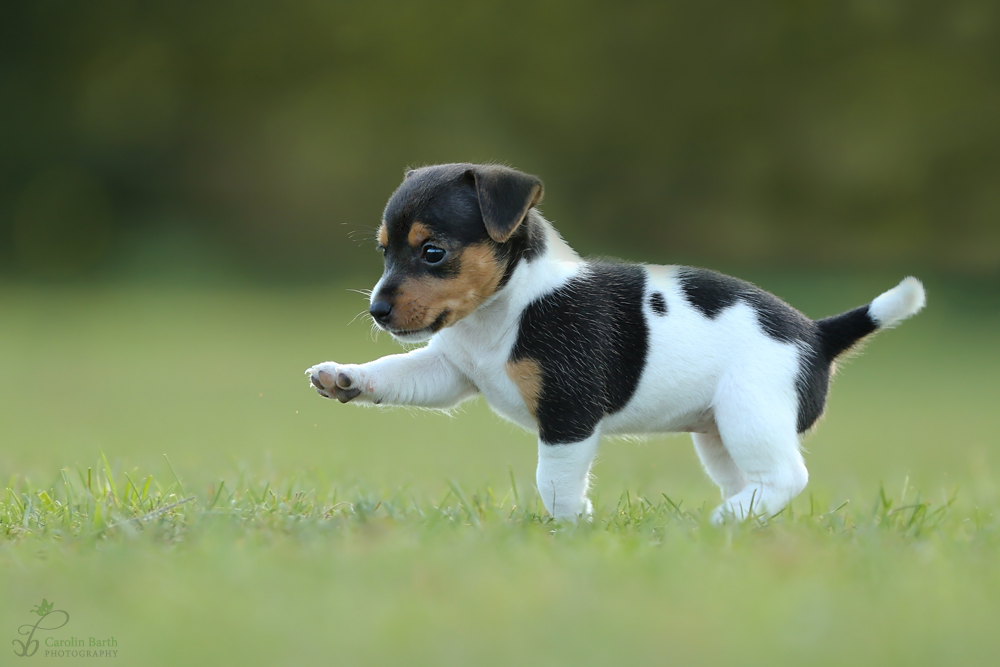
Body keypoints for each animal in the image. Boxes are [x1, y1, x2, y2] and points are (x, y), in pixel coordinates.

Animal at [306, 164, 928, 524]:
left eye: (432, 251)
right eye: (384, 250)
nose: (376, 311)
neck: (512, 303)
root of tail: (817, 334)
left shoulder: (568, 415)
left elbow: (553, 480)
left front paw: (571, 524)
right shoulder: (450, 372)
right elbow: (395, 372)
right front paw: (344, 376)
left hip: (750, 413)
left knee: (788, 478)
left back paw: (723, 519)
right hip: (721, 435)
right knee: (760, 483)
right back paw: (742, 520)